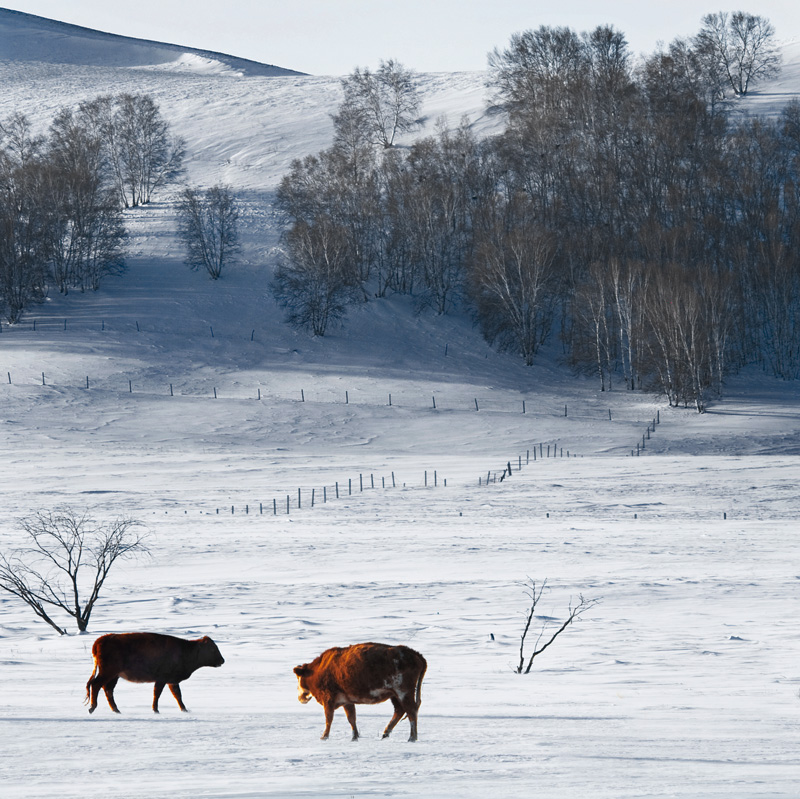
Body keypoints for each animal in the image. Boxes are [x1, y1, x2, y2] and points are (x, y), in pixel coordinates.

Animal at [86, 636, 225, 716]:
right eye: (212, 649)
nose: (222, 660)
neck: (187, 650)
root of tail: (98, 642)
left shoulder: (171, 681)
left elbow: (177, 695)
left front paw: (185, 709)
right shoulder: (162, 679)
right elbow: (157, 694)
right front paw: (156, 710)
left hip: (114, 675)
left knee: (107, 689)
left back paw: (116, 710)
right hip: (108, 673)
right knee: (96, 685)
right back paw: (93, 708)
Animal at [294, 640, 428, 740]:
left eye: (298, 677)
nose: (300, 698)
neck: (317, 670)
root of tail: (414, 653)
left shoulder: (328, 700)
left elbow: (329, 718)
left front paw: (324, 736)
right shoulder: (347, 701)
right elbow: (351, 718)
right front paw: (355, 736)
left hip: (403, 692)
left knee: (411, 711)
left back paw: (412, 737)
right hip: (394, 695)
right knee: (400, 710)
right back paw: (385, 734)